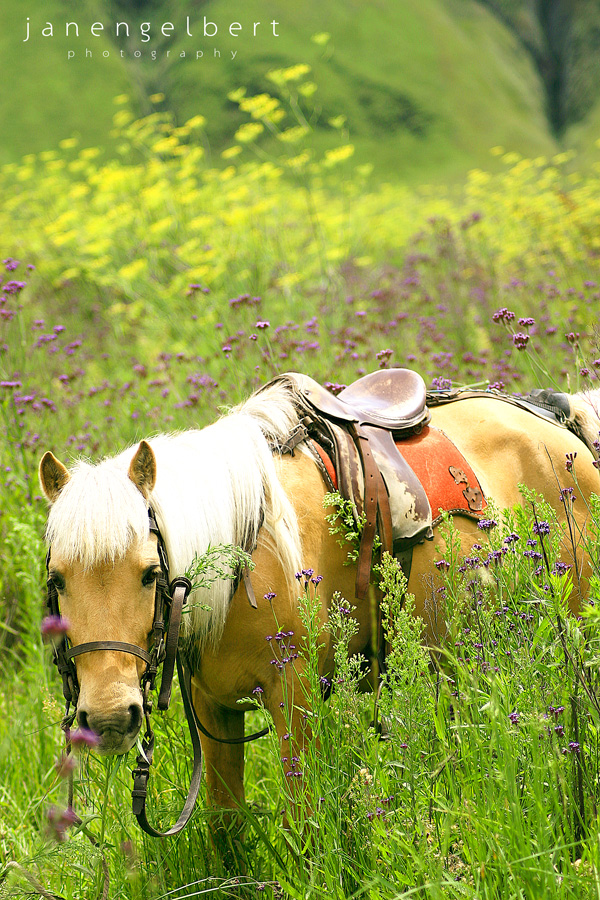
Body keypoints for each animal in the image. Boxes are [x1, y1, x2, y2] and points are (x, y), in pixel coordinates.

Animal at [39, 370, 600, 828]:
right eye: (58, 580)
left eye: (150, 574)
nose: (109, 718)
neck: (243, 555)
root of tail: (561, 421)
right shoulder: (213, 710)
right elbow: (226, 823)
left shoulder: (295, 698)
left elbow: (302, 821)